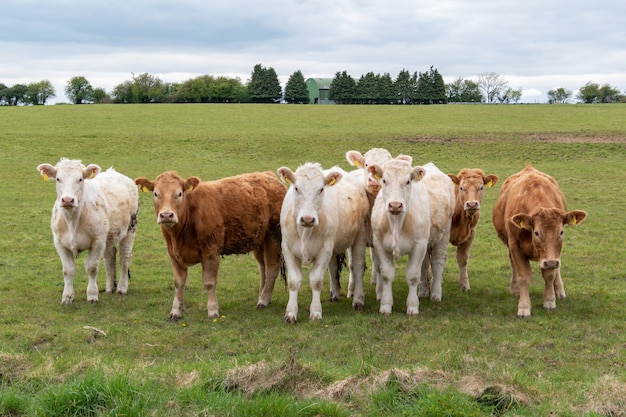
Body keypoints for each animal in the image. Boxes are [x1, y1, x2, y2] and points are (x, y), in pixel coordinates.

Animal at [37, 158, 139, 304]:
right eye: (58, 179)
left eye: (80, 179)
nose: (67, 200)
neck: (72, 220)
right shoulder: (60, 243)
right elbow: (68, 270)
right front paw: (67, 297)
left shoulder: (97, 242)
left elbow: (91, 268)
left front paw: (92, 295)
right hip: (108, 236)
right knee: (109, 257)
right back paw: (110, 288)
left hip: (130, 228)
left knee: (125, 257)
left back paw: (121, 288)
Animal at [135, 171, 286, 320]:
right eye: (155, 194)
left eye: (179, 193)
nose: (166, 215)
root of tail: (269, 175)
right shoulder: (173, 254)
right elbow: (178, 283)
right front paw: (176, 310)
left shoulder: (211, 253)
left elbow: (209, 282)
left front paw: (213, 310)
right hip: (259, 240)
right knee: (263, 267)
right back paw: (262, 294)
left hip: (274, 236)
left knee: (272, 268)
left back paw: (264, 300)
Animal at [276, 162, 368, 322]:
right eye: (296, 188)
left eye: (321, 189)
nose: (307, 219)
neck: (305, 232)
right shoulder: (287, 249)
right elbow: (294, 281)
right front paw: (291, 313)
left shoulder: (324, 250)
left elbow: (316, 281)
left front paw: (315, 312)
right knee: (333, 267)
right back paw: (335, 294)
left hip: (359, 236)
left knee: (357, 267)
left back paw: (358, 300)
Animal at [368, 160, 450, 316]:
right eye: (384, 180)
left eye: (408, 181)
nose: (395, 205)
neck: (397, 222)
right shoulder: (379, 244)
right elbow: (387, 274)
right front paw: (385, 305)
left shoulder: (419, 245)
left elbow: (412, 276)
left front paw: (412, 306)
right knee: (425, 264)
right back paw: (423, 292)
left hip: (443, 236)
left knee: (437, 263)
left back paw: (436, 294)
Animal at [492, 164, 584, 316]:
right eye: (536, 233)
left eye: (561, 232)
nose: (551, 262)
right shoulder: (515, 246)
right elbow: (523, 277)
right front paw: (524, 307)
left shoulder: (552, 256)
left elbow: (550, 275)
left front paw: (550, 300)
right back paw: (515, 288)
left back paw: (559, 290)